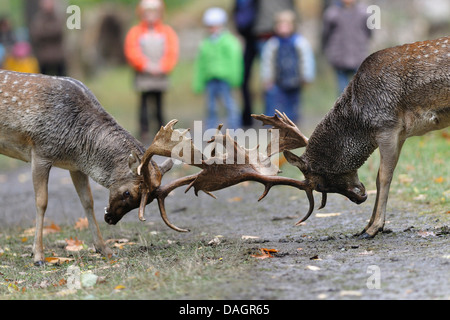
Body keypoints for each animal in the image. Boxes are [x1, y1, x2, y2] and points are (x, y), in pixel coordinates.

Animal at [255, 36, 448, 239]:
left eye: (320, 185)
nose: (359, 199)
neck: (361, 119)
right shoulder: (401, 133)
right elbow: (378, 178)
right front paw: (366, 226)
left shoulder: (387, 126)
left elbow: (384, 176)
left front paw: (373, 228)